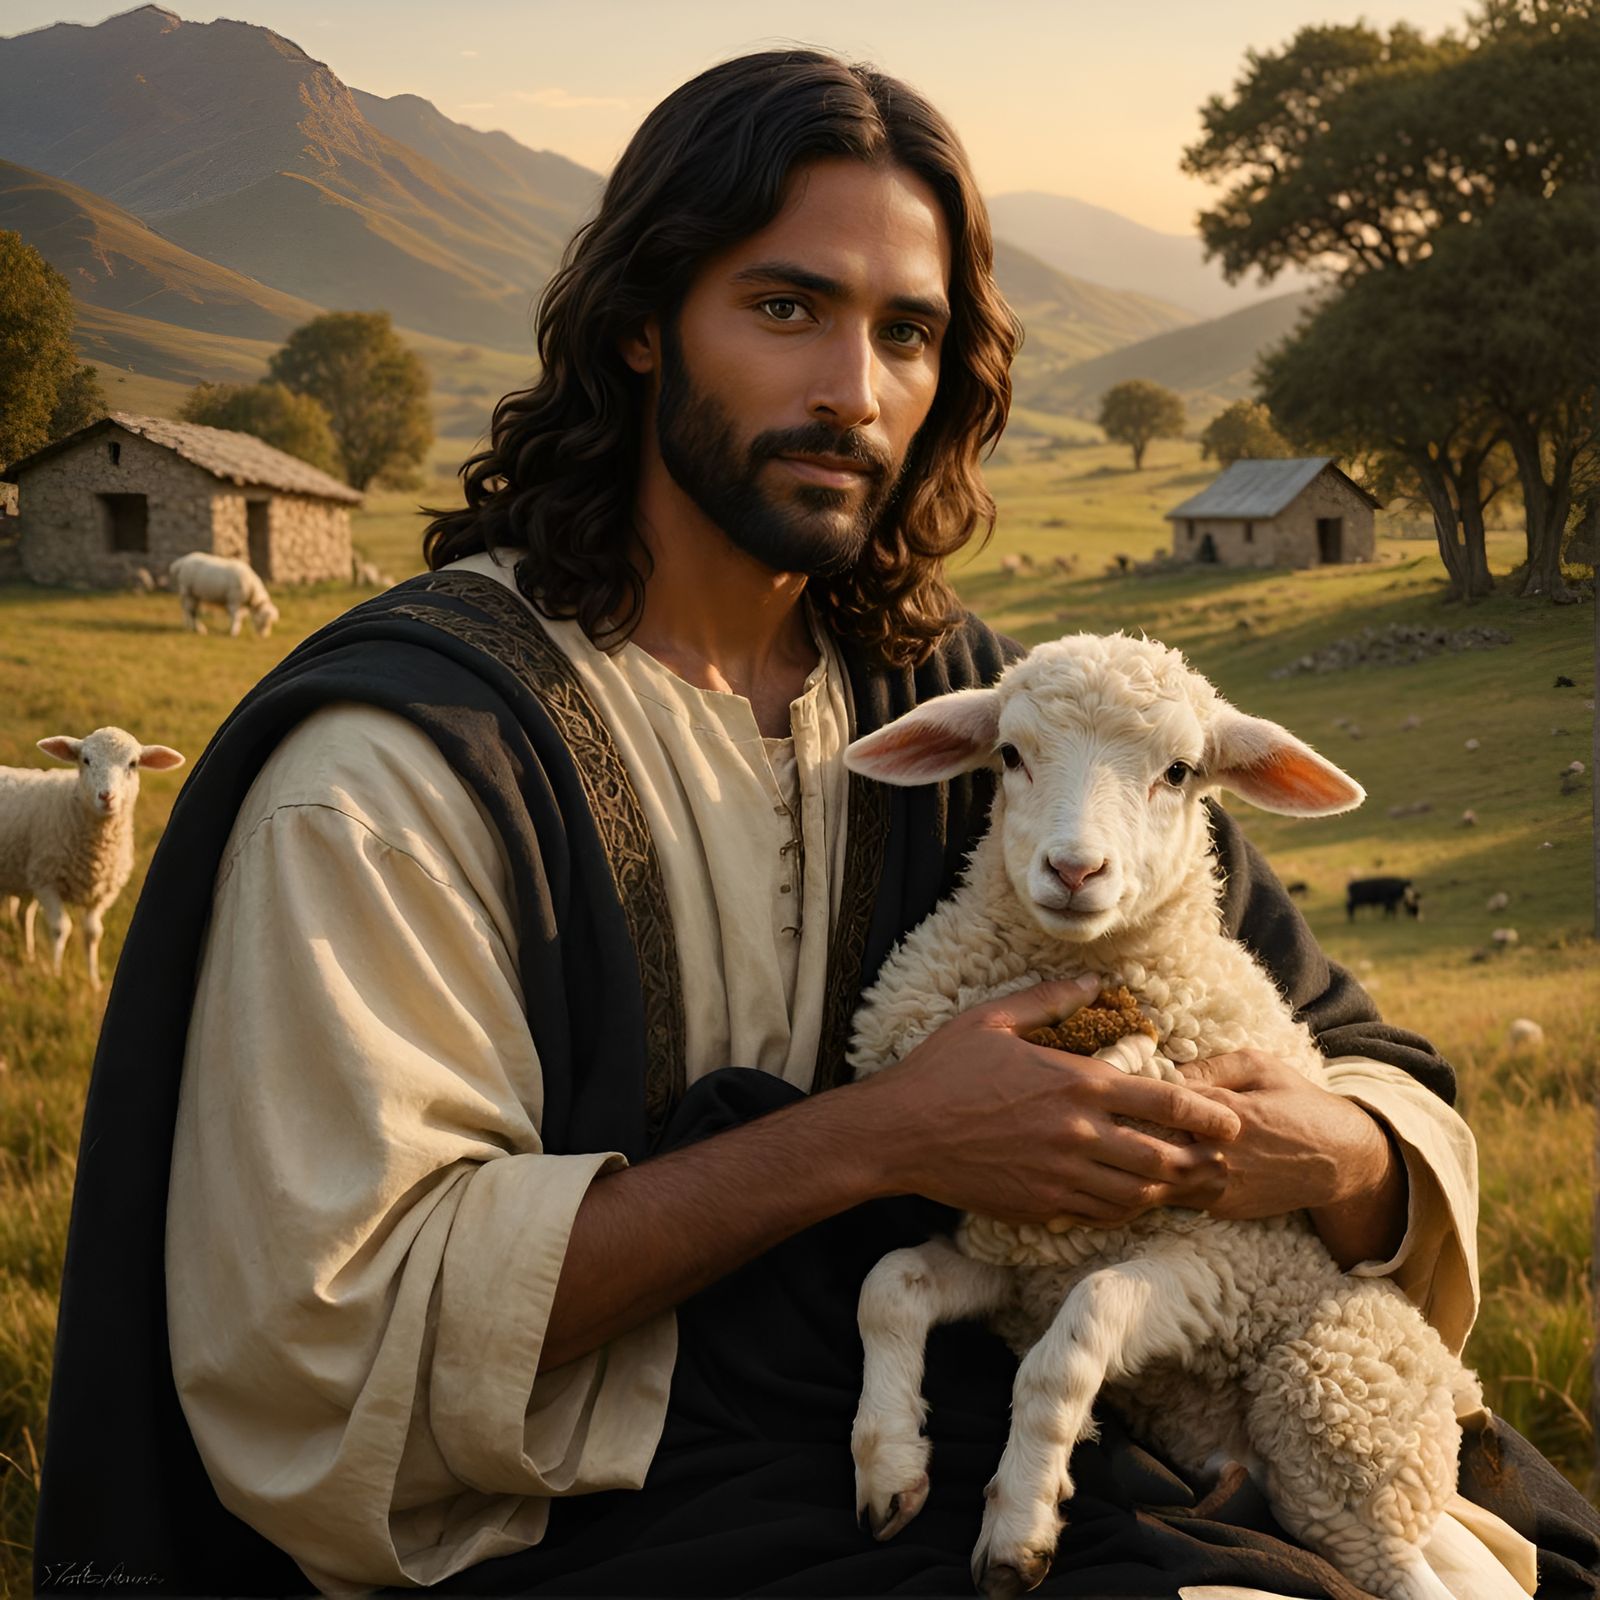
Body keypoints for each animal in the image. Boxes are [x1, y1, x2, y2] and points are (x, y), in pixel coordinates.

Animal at [0, 727, 185, 991]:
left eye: (133, 763)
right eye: (86, 760)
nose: (107, 796)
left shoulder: (101, 891)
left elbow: (93, 934)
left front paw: (94, 981)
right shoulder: (46, 881)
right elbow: (60, 928)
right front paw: (56, 974)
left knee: (24, 915)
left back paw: (29, 955)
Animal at [843, 633, 1479, 1600]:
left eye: (1179, 773)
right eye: (1011, 755)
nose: (1074, 871)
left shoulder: (1223, 1267)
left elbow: (1072, 1344)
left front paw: (1019, 1525)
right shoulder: (1013, 1259)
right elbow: (888, 1286)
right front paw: (889, 1462)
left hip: (1334, 1408)